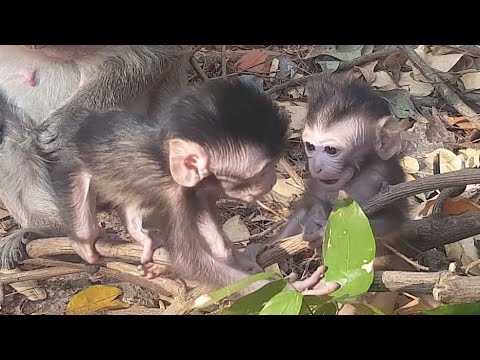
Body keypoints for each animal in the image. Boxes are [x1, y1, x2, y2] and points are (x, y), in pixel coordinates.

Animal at [280, 74, 410, 272]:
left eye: (331, 150)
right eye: (310, 146)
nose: (316, 166)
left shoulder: (382, 177)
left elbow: (392, 220)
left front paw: (324, 230)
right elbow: (309, 203)